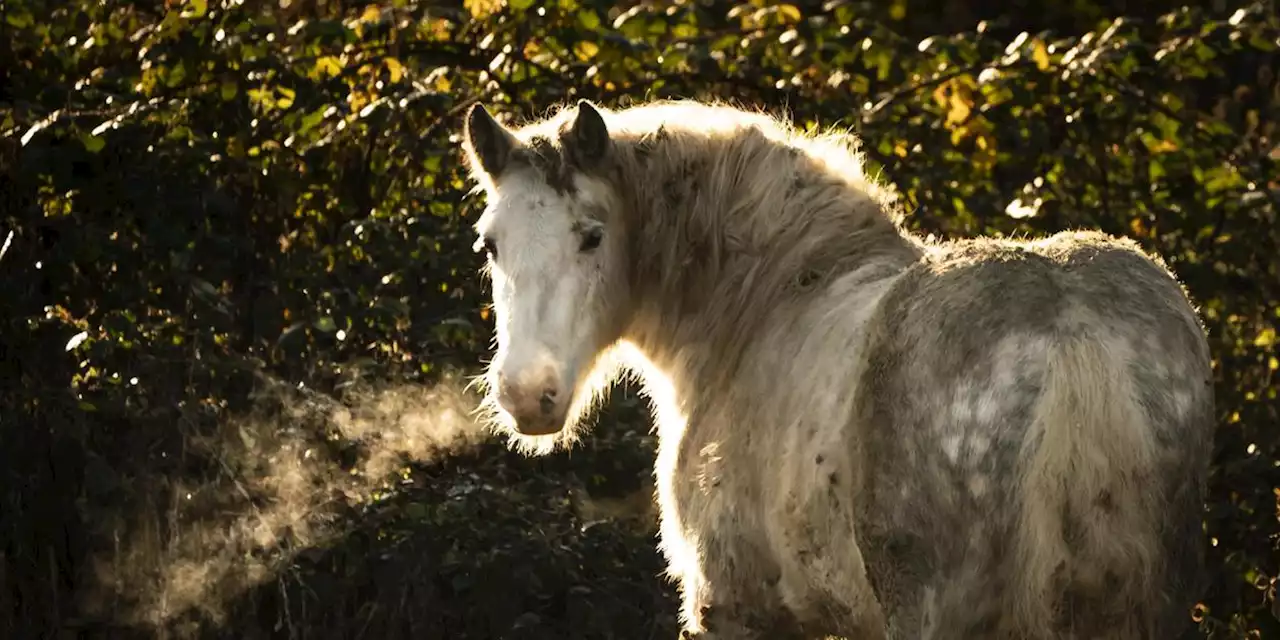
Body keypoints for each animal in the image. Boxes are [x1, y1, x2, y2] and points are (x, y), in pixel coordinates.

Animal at [455, 96, 1213, 640]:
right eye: (489, 244)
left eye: (591, 237)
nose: (527, 394)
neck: (762, 300)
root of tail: (1069, 330)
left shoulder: (731, 610)